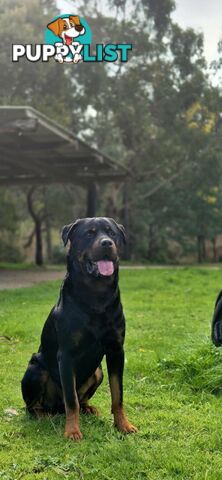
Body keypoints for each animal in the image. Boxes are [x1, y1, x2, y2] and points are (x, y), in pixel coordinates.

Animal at [21, 216, 138, 440]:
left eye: (112, 233)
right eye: (89, 234)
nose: (107, 243)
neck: (97, 296)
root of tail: (55, 408)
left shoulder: (116, 350)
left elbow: (117, 395)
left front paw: (123, 425)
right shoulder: (66, 356)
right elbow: (71, 399)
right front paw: (73, 431)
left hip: (97, 372)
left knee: (80, 399)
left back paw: (88, 408)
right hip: (36, 369)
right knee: (35, 405)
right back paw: (43, 415)